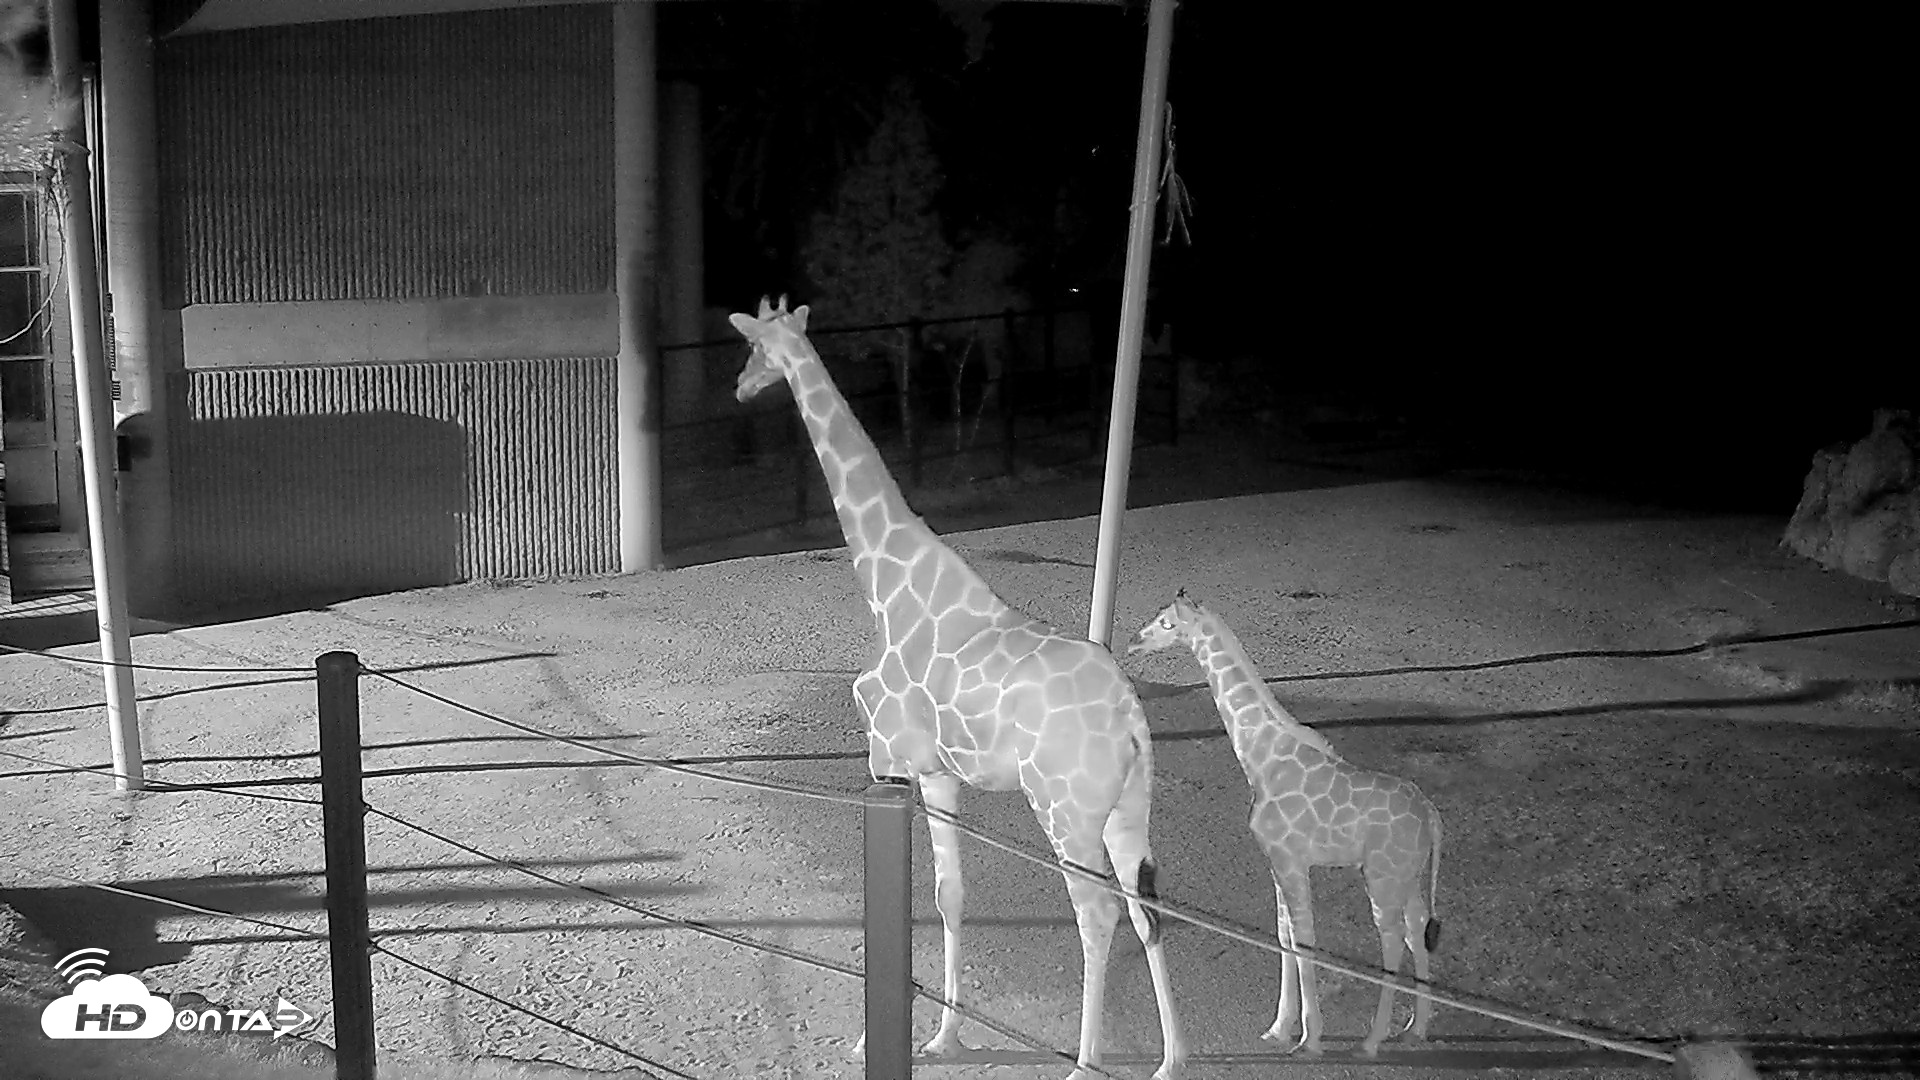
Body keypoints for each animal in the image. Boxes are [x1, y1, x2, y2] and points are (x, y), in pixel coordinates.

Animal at [729, 297, 1187, 1080]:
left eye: (757, 347)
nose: (739, 386)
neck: (887, 583)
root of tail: (1131, 717)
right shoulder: (940, 772)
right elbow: (951, 894)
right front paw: (943, 1037)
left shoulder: (886, 755)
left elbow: (911, 894)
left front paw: (870, 1040)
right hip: (1129, 809)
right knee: (1145, 906)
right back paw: (1173, 1060)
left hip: (1064, 810)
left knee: (1095, 914)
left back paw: (1083, 1064)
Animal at [1126, 590, 1441, 1057]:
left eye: (1167, 624)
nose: (1133, 641)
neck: (1259, 753)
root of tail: (1432, 817)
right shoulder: (1278, 859)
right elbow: (1284, 936)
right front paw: (1280, 1027)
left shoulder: (1292, 861)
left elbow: (1304, 938)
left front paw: (1311, 1038)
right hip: (1409, 874)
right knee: (1417, 928)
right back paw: (1416, 1027)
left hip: (1381, 875)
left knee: (1390, 941)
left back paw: (1371, 1040)